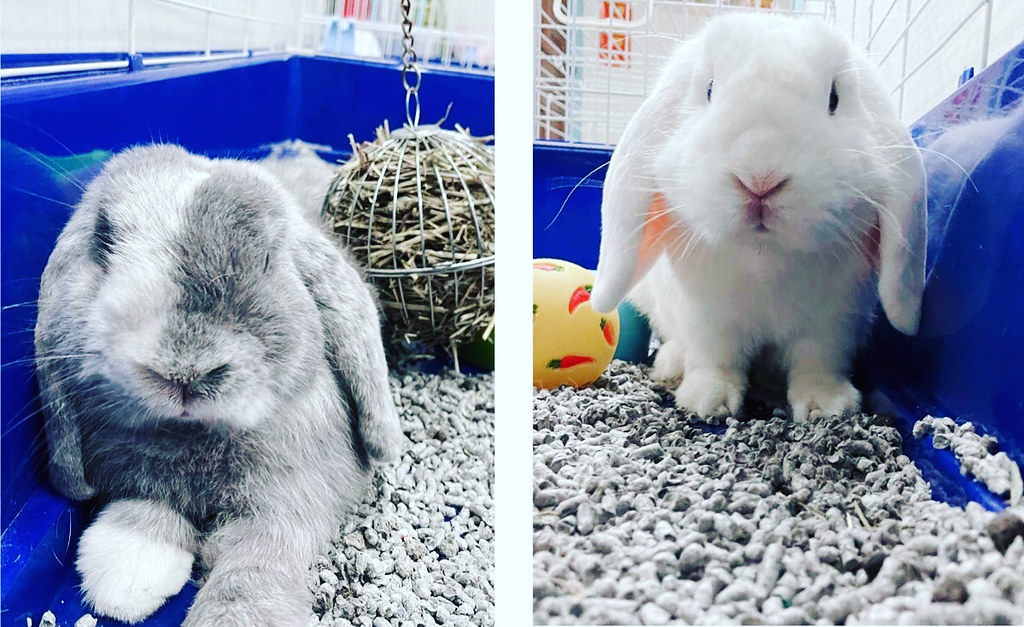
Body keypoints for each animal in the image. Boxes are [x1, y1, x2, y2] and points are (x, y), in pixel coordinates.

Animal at [33, 144, 403, 625]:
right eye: (105, 242)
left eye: (268, 258)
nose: (184, 371)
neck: (193, 436)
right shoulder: (147, 482)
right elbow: (148, 507)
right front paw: (125, 580)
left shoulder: (288, 507)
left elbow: (252, 571)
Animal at [590, 13, 927, 421]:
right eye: (709, 89)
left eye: (834, 98)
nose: (760, 179)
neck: (764, 257)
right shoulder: (708, 319)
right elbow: (716, 358)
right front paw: (708, 400)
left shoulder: (832, 323)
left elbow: (817, 362)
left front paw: (826, 406)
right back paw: (671, 367)